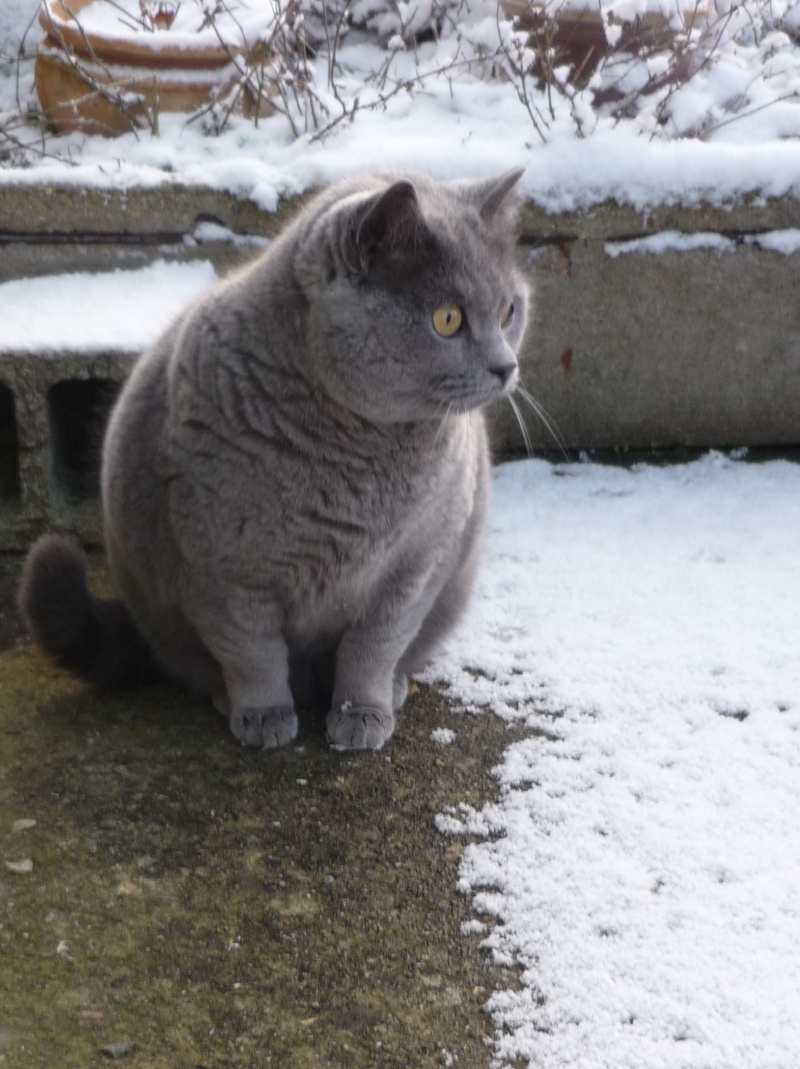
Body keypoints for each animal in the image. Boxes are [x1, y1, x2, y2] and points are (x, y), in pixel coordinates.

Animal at [18, 168, 528, 752]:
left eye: (509, 311)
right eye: (448, 319)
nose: (506, 366)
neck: (362, 458)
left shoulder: (417, 567)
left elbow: (373, 648)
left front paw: (362, 714)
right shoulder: (219, 574)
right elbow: (252, 653)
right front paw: (263, 717)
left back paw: (394, 688)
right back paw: (226, 697)